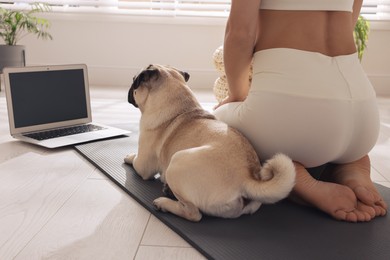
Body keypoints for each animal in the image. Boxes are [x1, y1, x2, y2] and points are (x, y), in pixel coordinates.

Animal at [125, 64, 296, 220]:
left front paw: (129, 156)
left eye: (134, 81)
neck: (181, 108)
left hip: (177, 161)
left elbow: (136, 161)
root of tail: (247, 178)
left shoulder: (144, 165)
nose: (130, 88)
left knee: (193, 213)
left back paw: (163, 203)